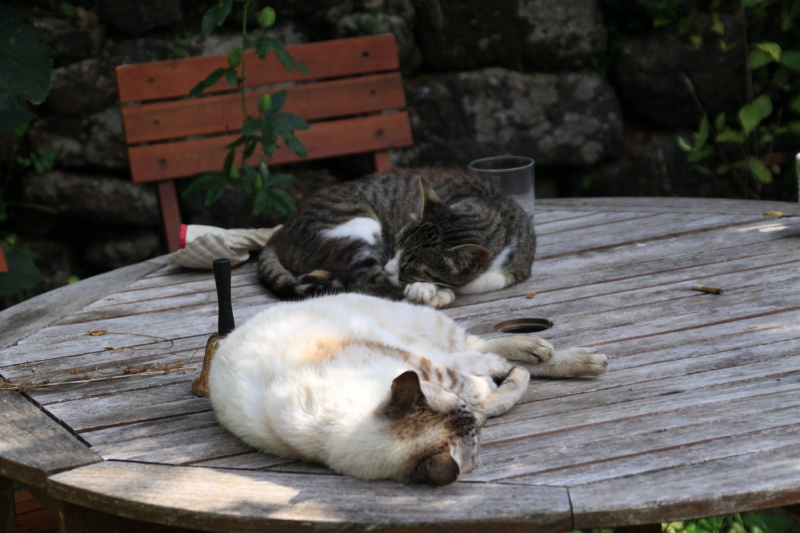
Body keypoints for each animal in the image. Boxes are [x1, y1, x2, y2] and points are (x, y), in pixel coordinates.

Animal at [209, 294, 608, 484]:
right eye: (476, 438)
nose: (477, 421)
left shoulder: (416, 362)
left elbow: (472, 376)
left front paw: (504, 373)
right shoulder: (445, 381)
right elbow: (487, 392)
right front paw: (501, 384)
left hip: (425, 326)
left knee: (485, 347)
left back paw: (565, 355)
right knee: (486, 356)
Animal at [260, 166, 536, 308]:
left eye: (411, 266)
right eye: (395, 248)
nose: (389, 268)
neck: (489, 207)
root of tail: (279, 233)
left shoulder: (518, 268)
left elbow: (478, 281)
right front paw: (426, 289)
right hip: (359, 223)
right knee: (367, 284)